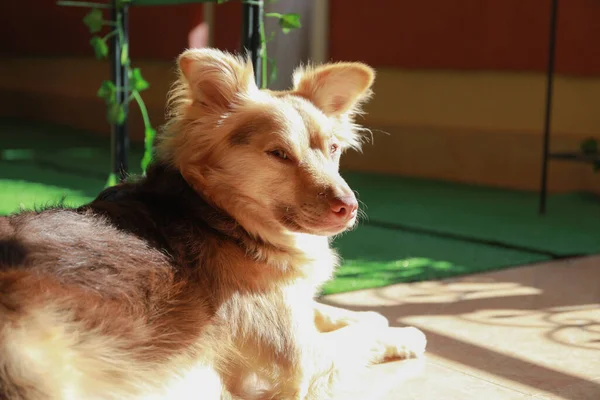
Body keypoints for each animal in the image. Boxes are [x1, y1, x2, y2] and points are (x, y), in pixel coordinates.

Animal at [0, 48, 426, 398]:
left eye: (334, 149)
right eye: (278, 154)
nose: (349, 207)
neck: (223, 220)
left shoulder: (287, 302)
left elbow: (338, 312)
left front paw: (401, 332)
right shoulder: (298, 360)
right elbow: (360, 331)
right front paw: (400, 330)